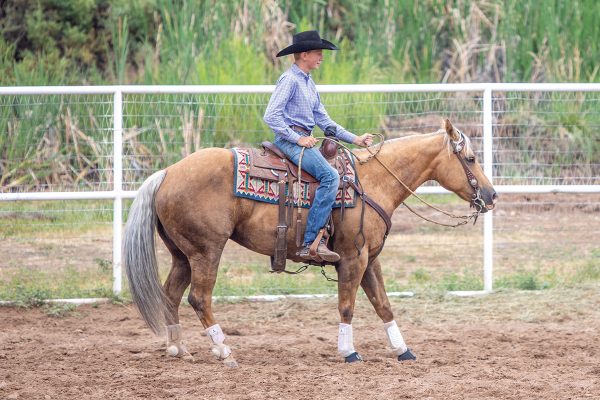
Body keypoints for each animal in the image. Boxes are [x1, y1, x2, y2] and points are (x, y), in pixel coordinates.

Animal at [123, 118, 496, 366]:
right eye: (471, 158)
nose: (491, 195)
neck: (372, 182)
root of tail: (167, 173)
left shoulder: (370, 258)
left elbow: (383, 305)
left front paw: (403, 350)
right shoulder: (353, 258)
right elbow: (347, 306)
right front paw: (349, 351)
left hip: (182, 254)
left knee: (170, 294)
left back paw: (177, 348)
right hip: (207, 250)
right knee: (199, 298)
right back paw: (224, 351)